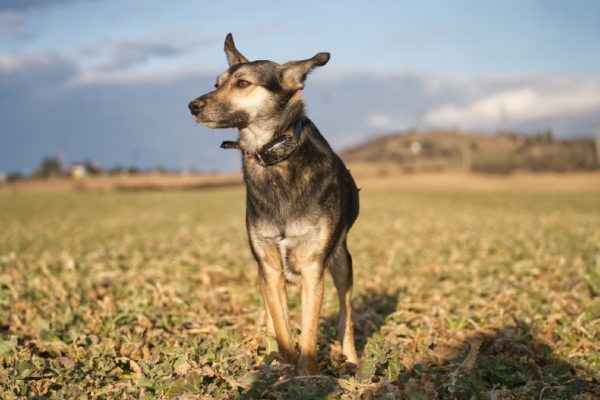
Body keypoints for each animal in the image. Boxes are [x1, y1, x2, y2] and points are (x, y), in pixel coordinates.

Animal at [188, 33, 358, 376]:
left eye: (242, 83)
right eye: (216, 83)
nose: (192, 106)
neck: (273, 159)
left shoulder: (313, 267)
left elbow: (310, 331)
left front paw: (306, 376)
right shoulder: (267, 265)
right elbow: (281, 326)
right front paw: (283, 367)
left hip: (341, 262)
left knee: (346, 316)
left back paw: (352, 361)